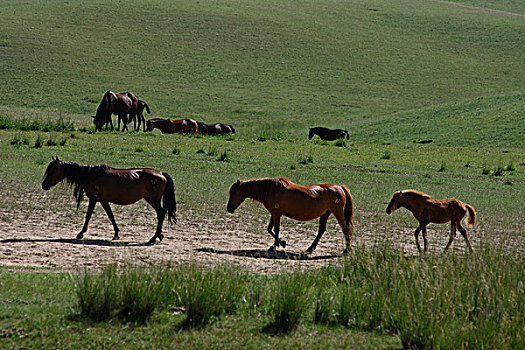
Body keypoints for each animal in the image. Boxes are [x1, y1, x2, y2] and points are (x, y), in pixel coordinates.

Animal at [41, 156, 176, 243]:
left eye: (54, 170)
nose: (44, 185)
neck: (91, 175)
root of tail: (162, 174)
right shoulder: (103, 201)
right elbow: (111, 216)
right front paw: (116, 234)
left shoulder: (94, 199)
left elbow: (88, 216)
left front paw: (80, 233)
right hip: (150, 199)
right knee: (161, 214)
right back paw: (158, 235)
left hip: (153, 199)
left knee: (161, 213)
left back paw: (154, 237)